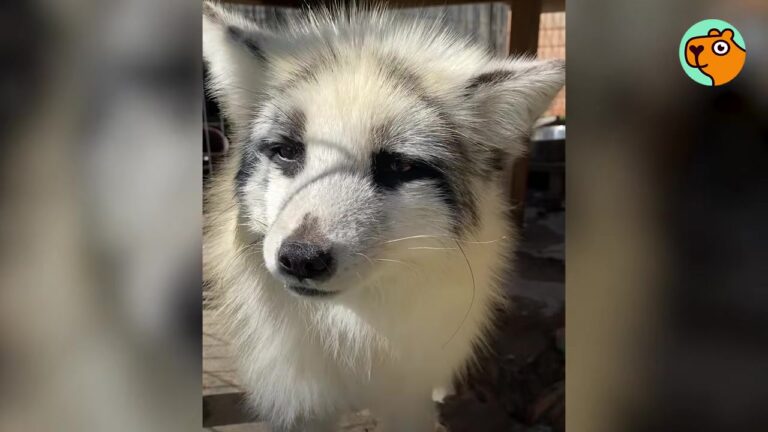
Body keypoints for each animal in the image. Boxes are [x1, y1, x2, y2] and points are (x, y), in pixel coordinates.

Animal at [203, 3, 564, 431]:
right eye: (287, 151)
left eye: (399, 166)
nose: (301, 259)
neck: (351, 332)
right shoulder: (302, 403)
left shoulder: (406, 399)